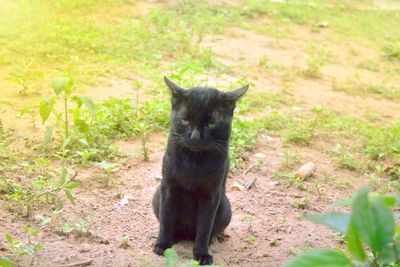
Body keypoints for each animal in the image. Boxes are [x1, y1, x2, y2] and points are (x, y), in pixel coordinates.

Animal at [152, 76, 248, 264]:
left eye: (211, 123)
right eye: (185, 121)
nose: (195, 137)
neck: (194, 162)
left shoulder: (211, 194)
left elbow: (204, 227)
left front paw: (202, 254)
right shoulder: (168, 188)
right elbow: (166, 220)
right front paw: (162, 245)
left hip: (225, 207)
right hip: (156, 195)